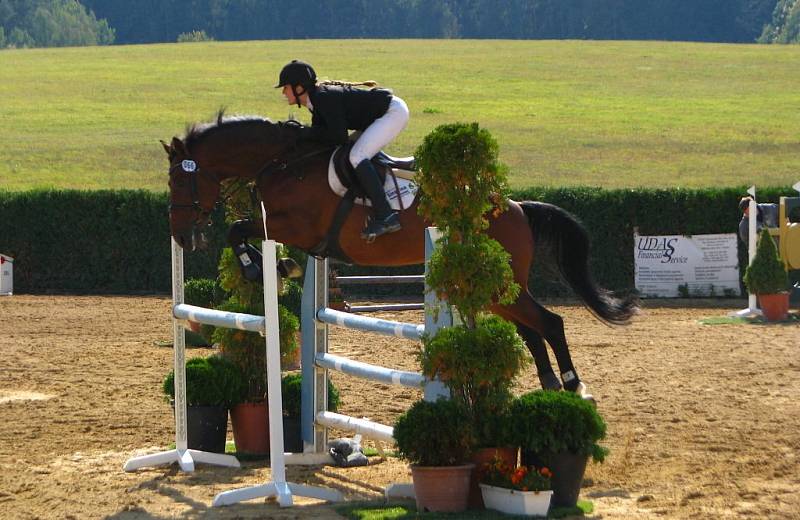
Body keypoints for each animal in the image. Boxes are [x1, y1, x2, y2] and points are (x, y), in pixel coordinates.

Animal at [162, 114, 636, 396]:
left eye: (180, 182)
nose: (181, 237)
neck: (284, 162)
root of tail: (517, 207)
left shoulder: (296, 226)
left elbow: (238, 229)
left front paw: (261, 268)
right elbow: (243, 233)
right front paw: (276, 266)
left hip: (500, 283)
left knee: (550, 323)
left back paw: (573, 386)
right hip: (493, 288)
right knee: (530, 329)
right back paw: (550, 384)